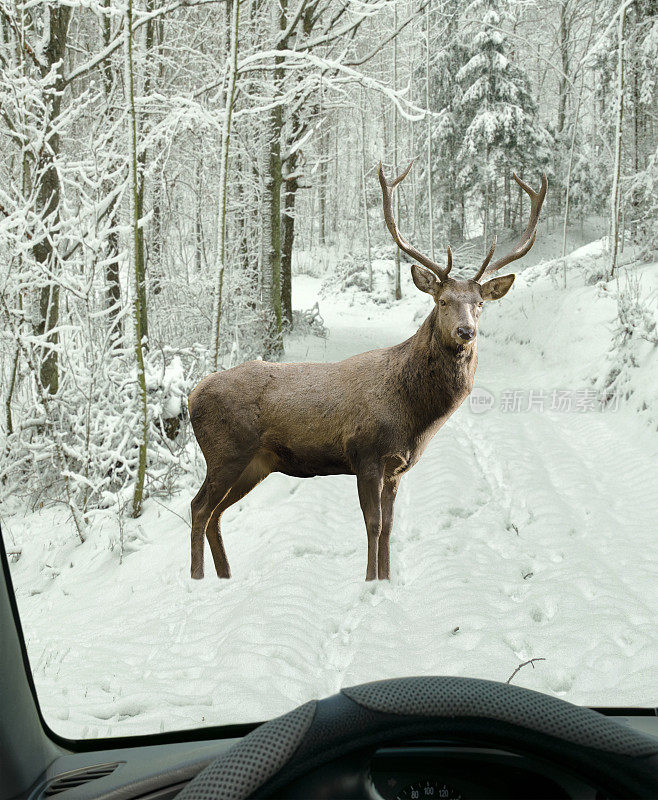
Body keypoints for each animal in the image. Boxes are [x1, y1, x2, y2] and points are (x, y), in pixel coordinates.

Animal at [187, 166, 544, 584]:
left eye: (480, 304)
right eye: (442, 301)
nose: (466, 331)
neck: (412, 417)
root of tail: (191, 394)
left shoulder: (396, 467)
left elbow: (389, 526)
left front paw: (386, 580)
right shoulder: (365, 453)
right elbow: (372, 524)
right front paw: (371, 581)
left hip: (254, 463)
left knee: (215, 514)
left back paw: (225, 577)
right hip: (225, 451)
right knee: (198, 508)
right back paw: (197, 579)